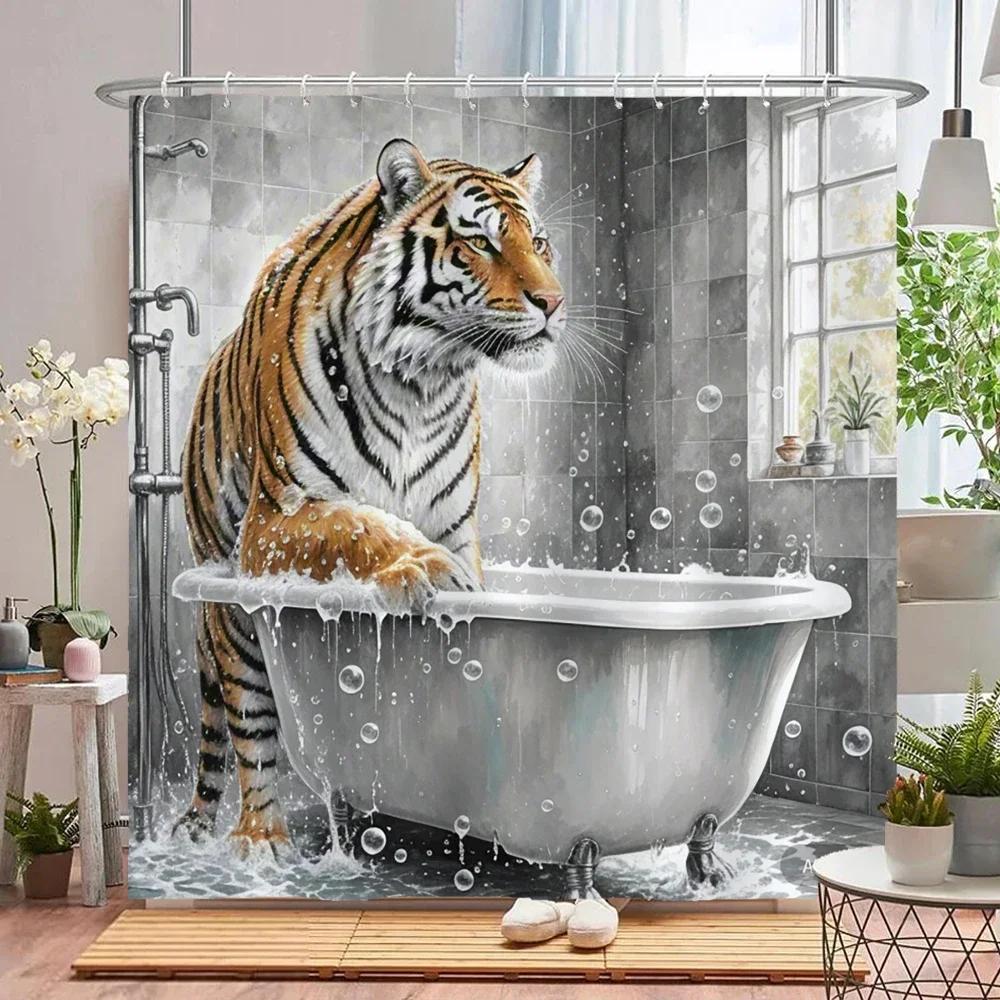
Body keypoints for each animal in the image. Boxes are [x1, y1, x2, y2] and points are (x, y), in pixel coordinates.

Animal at [175, 138, 566, 856]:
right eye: (481, 242)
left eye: (541, 242)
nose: (553, 303)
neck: (422, 382)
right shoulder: (275, 519)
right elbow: (355, 524)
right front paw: (423, 570)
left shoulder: (457, 525)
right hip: (233, 614)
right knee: (248, 725)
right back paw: (261, 837)